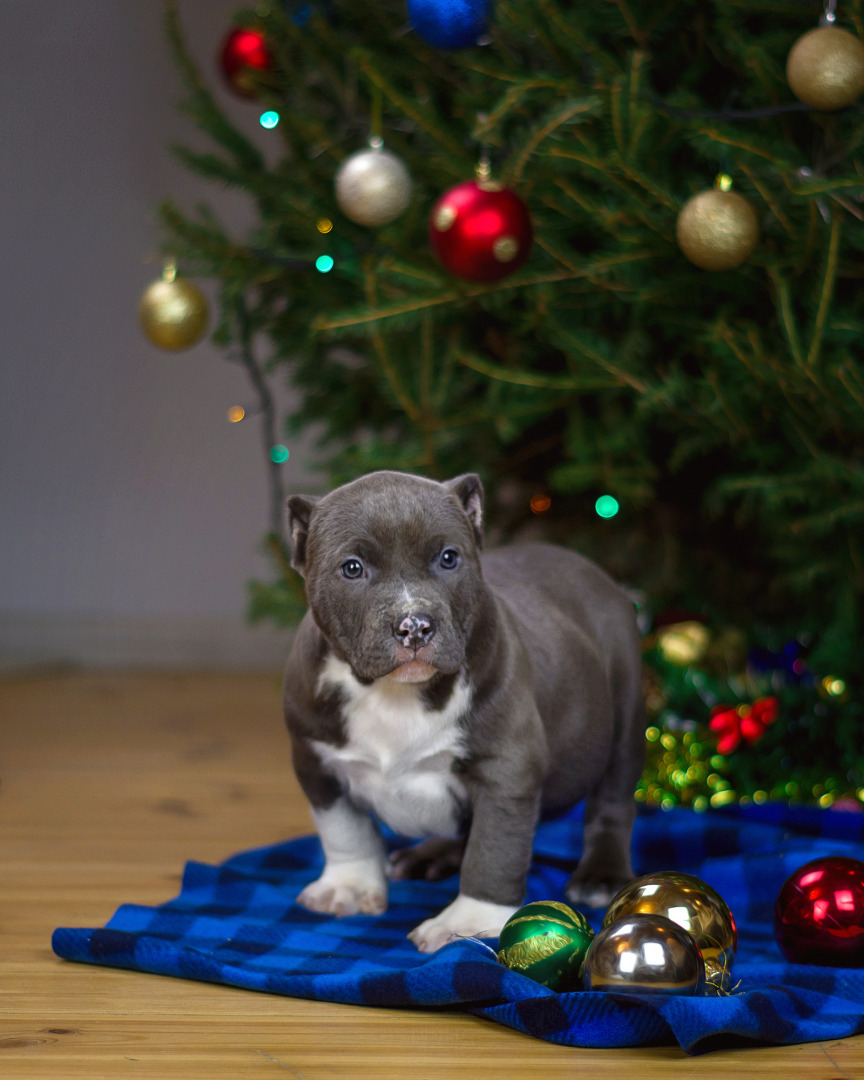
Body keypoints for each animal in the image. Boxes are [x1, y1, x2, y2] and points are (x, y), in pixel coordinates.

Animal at [282, 473, 639, 954]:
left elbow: (494, 848)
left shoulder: (506, 768)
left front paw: (471, 920)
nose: (414, 625)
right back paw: (431, 855)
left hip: (624, 706)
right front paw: (349, 886)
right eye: (352, 568)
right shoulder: (314, 758)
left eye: (448, 559)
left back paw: (600, 875)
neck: (393, 693)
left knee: (612, 801)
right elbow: (344, 829)